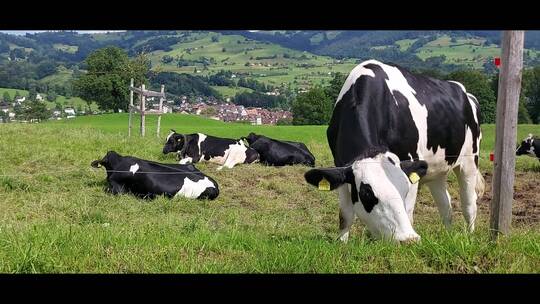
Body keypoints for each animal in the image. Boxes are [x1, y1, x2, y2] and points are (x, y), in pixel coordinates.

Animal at [304, 60, 486, 243]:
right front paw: (342, 243)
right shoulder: (341, 166)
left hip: (470, 161)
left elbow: (408, 213)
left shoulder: (411, 168)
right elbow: (345, 215)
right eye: (367, 193)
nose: (409, 239)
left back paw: (469, 237)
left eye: (404, 189)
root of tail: (467, 94)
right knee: (445, 205)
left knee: (469, 204)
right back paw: (449, 236)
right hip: (437, 169)